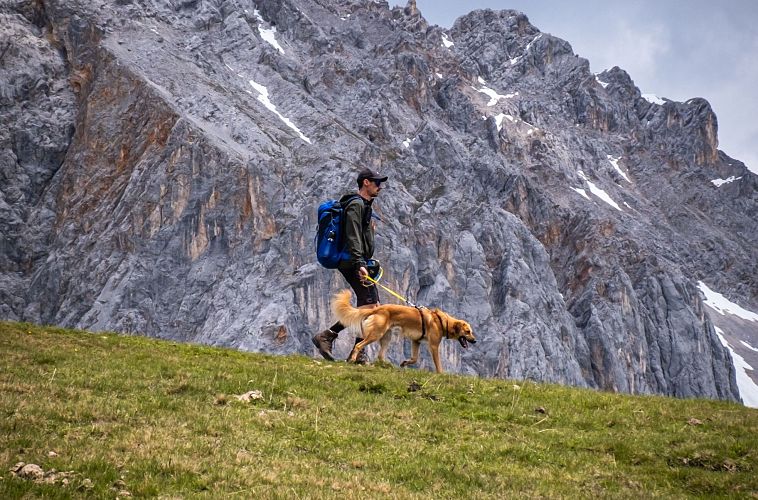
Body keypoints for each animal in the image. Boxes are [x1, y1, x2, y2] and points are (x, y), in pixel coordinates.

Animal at [332, 288, 478, 374]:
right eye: (467, 332)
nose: (475, 341)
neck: (442, 321)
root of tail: (377, 309)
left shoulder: (416, 341)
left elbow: (414, 358)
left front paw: (404, 363)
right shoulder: (433, 346)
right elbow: (438, 363)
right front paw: (441, 374)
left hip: (386, 337)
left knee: (380, 355)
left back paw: (387, 365)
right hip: (376, 334)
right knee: (358, 345)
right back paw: (352, 359)